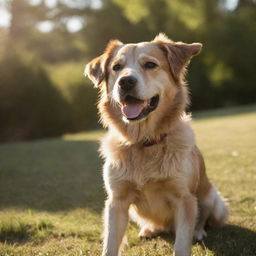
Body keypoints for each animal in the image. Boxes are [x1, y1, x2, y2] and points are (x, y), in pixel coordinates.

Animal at [85, 34, 229, 256]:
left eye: (150, 64)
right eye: (116, 67)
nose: (125, 81)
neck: (144, 143)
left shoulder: (184, 199)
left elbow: (182, 244)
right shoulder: (116, 201)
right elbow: (110, 245)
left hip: (214, 200)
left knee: (203, 218)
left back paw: (198, 232)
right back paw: (150, 229)